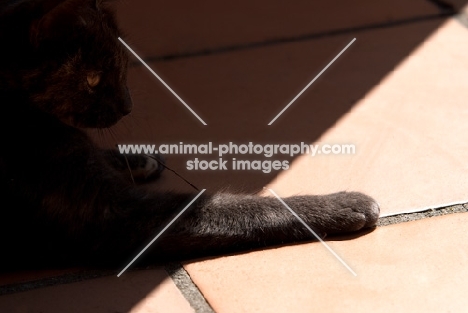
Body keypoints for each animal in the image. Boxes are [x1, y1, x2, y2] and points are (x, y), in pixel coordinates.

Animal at [0, 0, 378, 268]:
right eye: (92, 79)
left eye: (124, 65)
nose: (127, 105)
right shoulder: (115, 216)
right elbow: (244, 209)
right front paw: (339, 206)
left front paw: (135, 159)